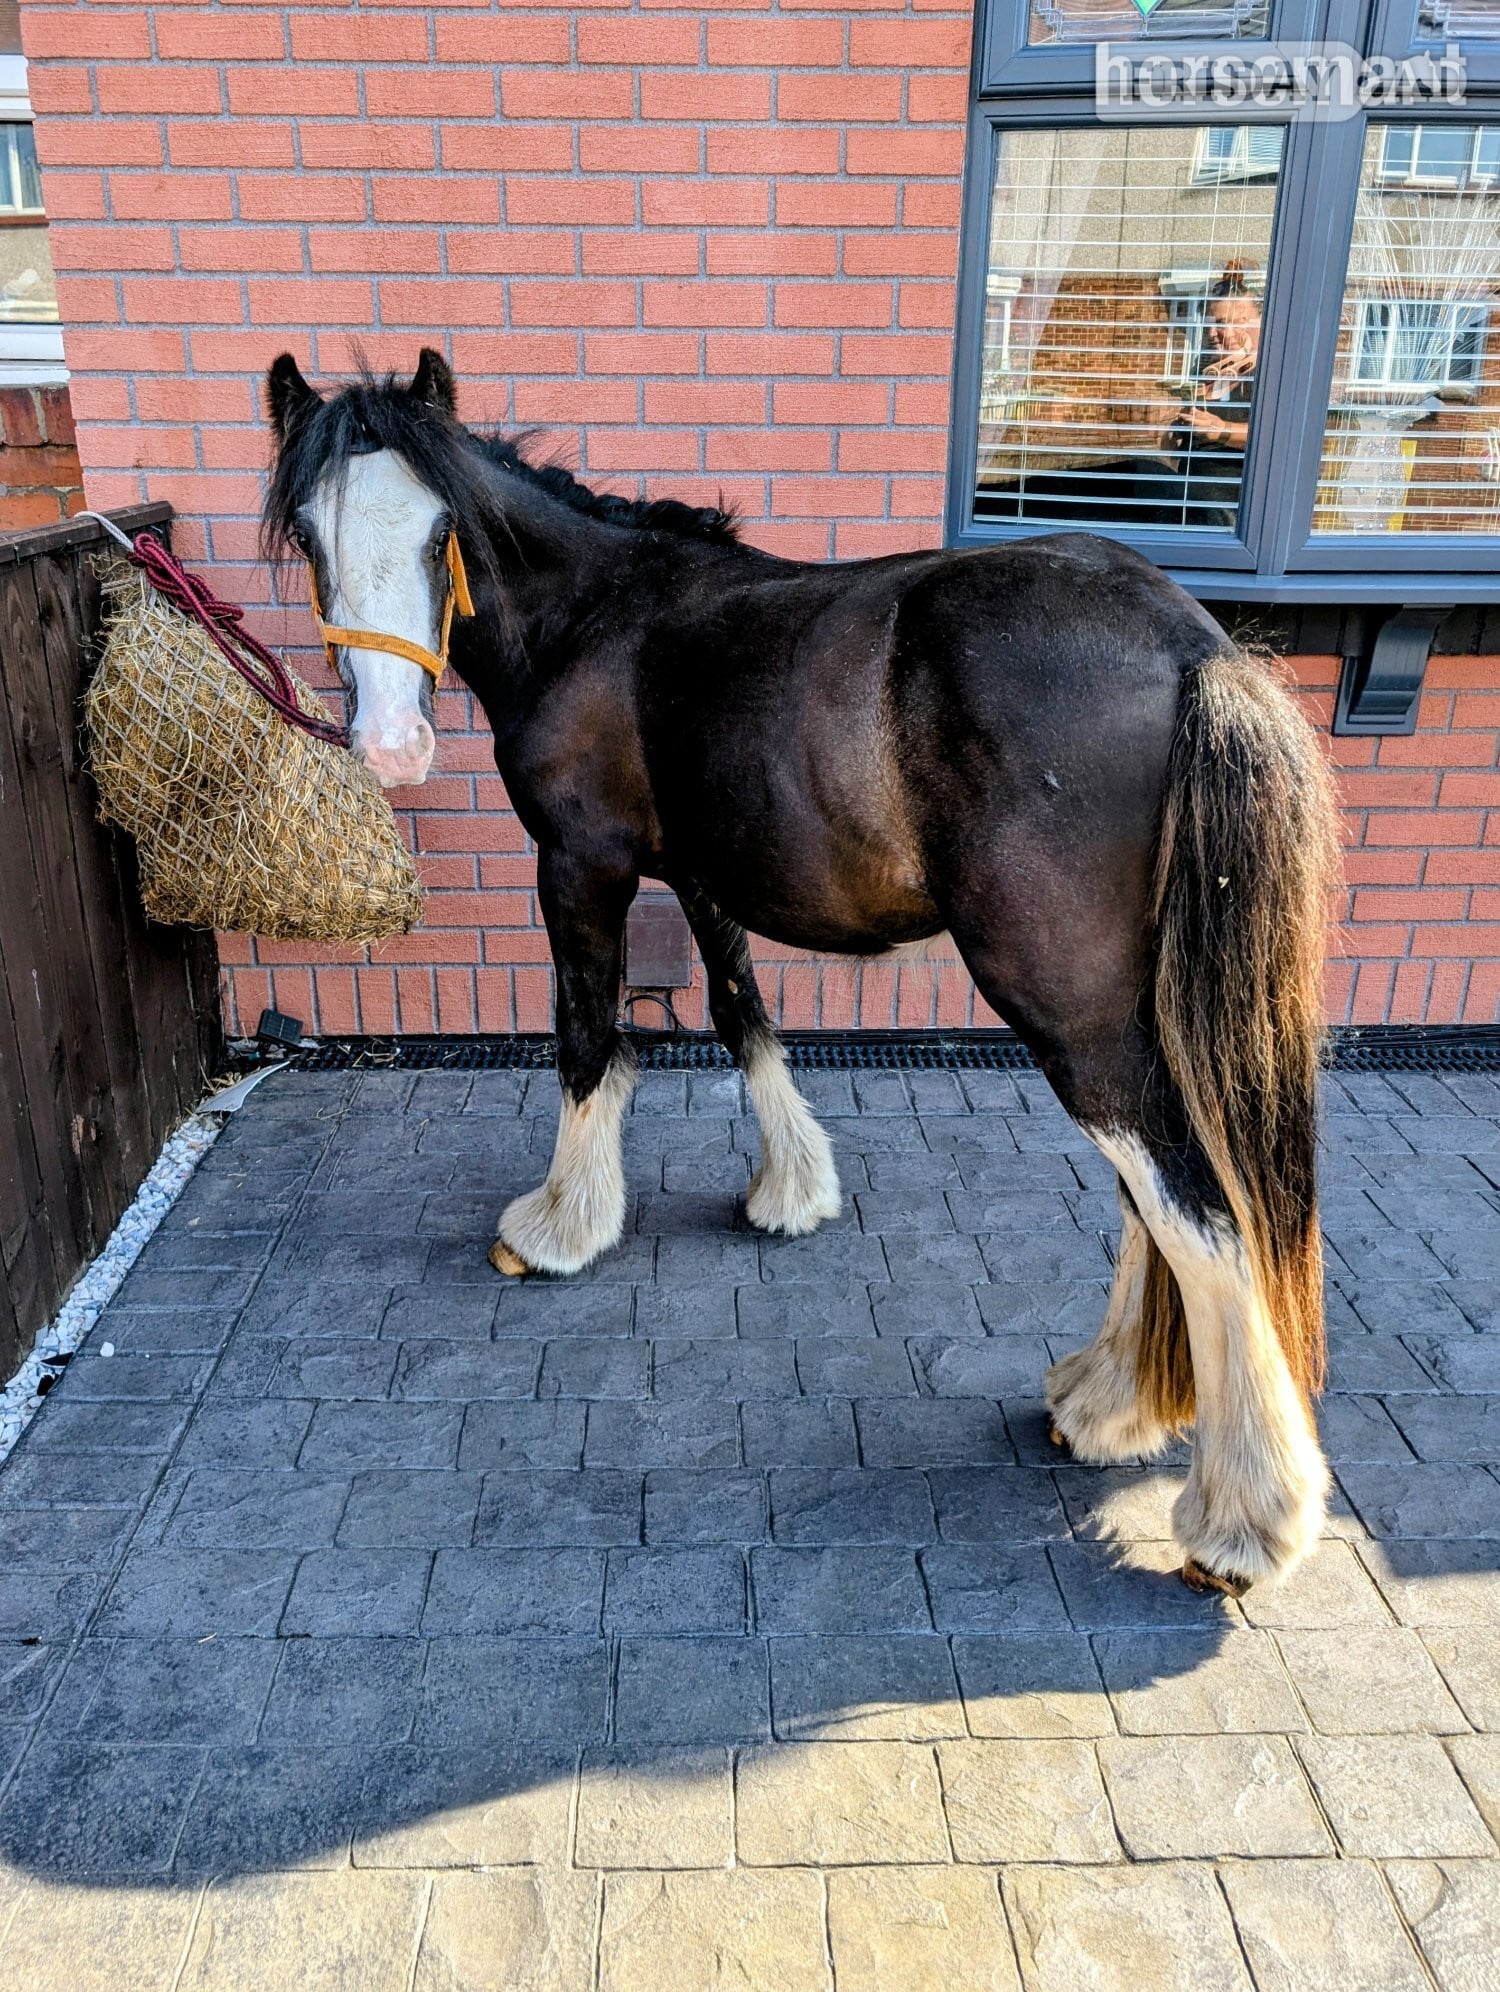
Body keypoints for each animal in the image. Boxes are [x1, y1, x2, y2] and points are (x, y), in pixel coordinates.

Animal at [263, 349, 1339, 1598]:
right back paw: (1110, 1402)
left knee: (1196, 1209)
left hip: (1069, 1007)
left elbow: (587, 1039)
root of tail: (1188, 646)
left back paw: (1242, 1517)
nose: (391, 748)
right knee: (1153, 1195)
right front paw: (792, 1189)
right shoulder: (701, 877)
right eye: (309, 533)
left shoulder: (580, 867)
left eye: (443, 532)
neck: (595, 619)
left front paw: (561, 1225)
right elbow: (744, 1017)